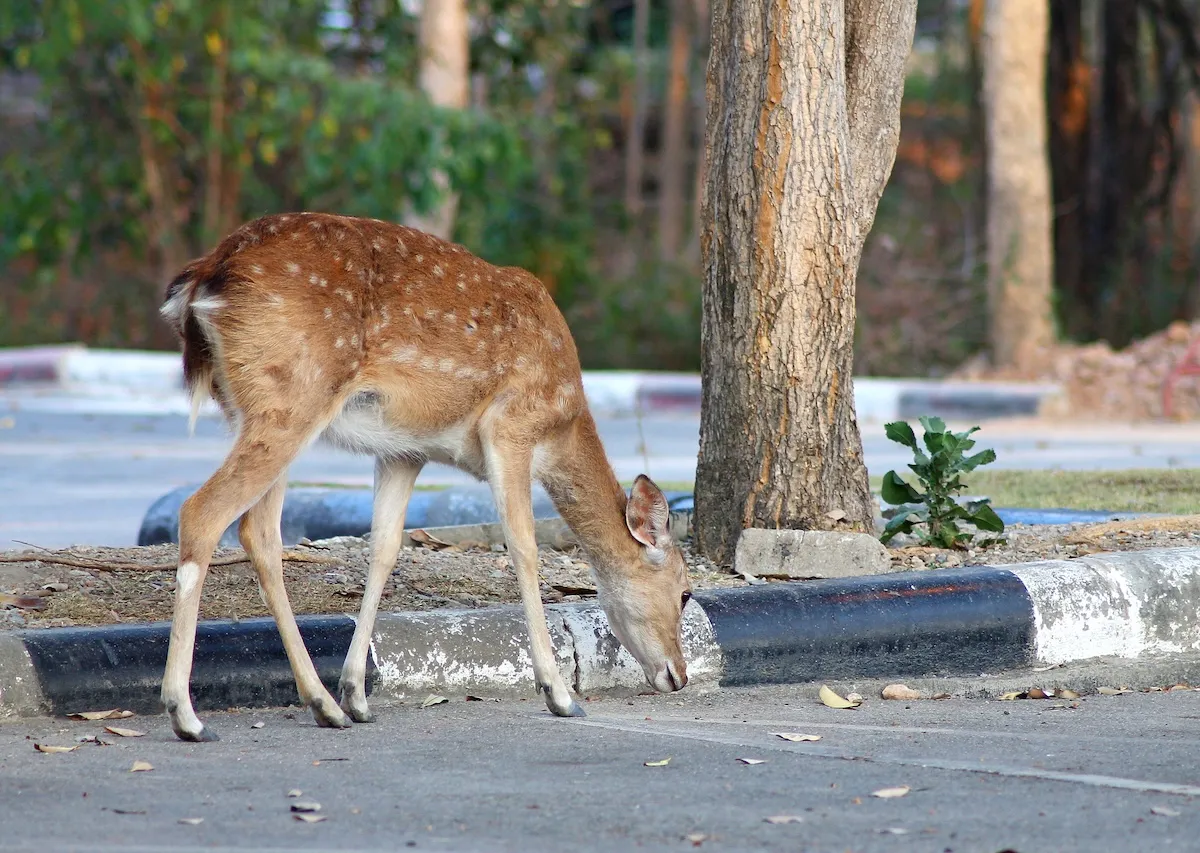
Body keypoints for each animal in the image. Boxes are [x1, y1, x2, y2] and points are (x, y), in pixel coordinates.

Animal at [158, 212, 692, 741]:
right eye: (685, 591)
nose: (680, 674)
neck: (563, 426)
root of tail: (207, 276)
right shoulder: (511, 426)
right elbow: (523, 547)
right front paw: (559, 695)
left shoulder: (404, 450)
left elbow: (384, 549)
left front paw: (356, 695)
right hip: (291, 393)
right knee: (202, 512)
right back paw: (187, 715)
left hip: (253, 407)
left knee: (260, 532)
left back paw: (324, 704)